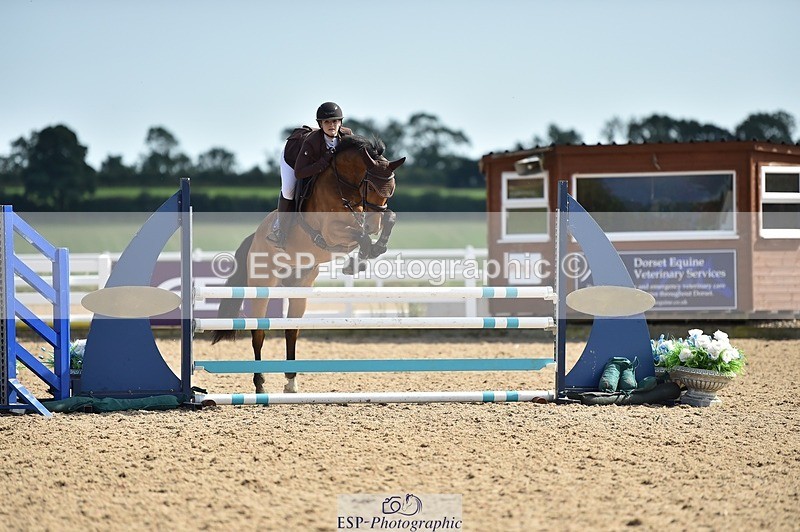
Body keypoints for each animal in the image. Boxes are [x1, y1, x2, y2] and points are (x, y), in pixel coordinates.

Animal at [211, 134, 405, 393]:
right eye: (371, 186)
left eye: (391, 190)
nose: (374, 224)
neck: (343, 185)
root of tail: (255, 238)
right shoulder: (332, 232)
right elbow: (360, 235)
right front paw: (362, 255)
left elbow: (386, 220)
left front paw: (368, 254)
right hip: (262, 286)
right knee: (258, 332)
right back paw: (260, 384)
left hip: (299, 288)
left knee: (291, 330)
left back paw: (291, 383)